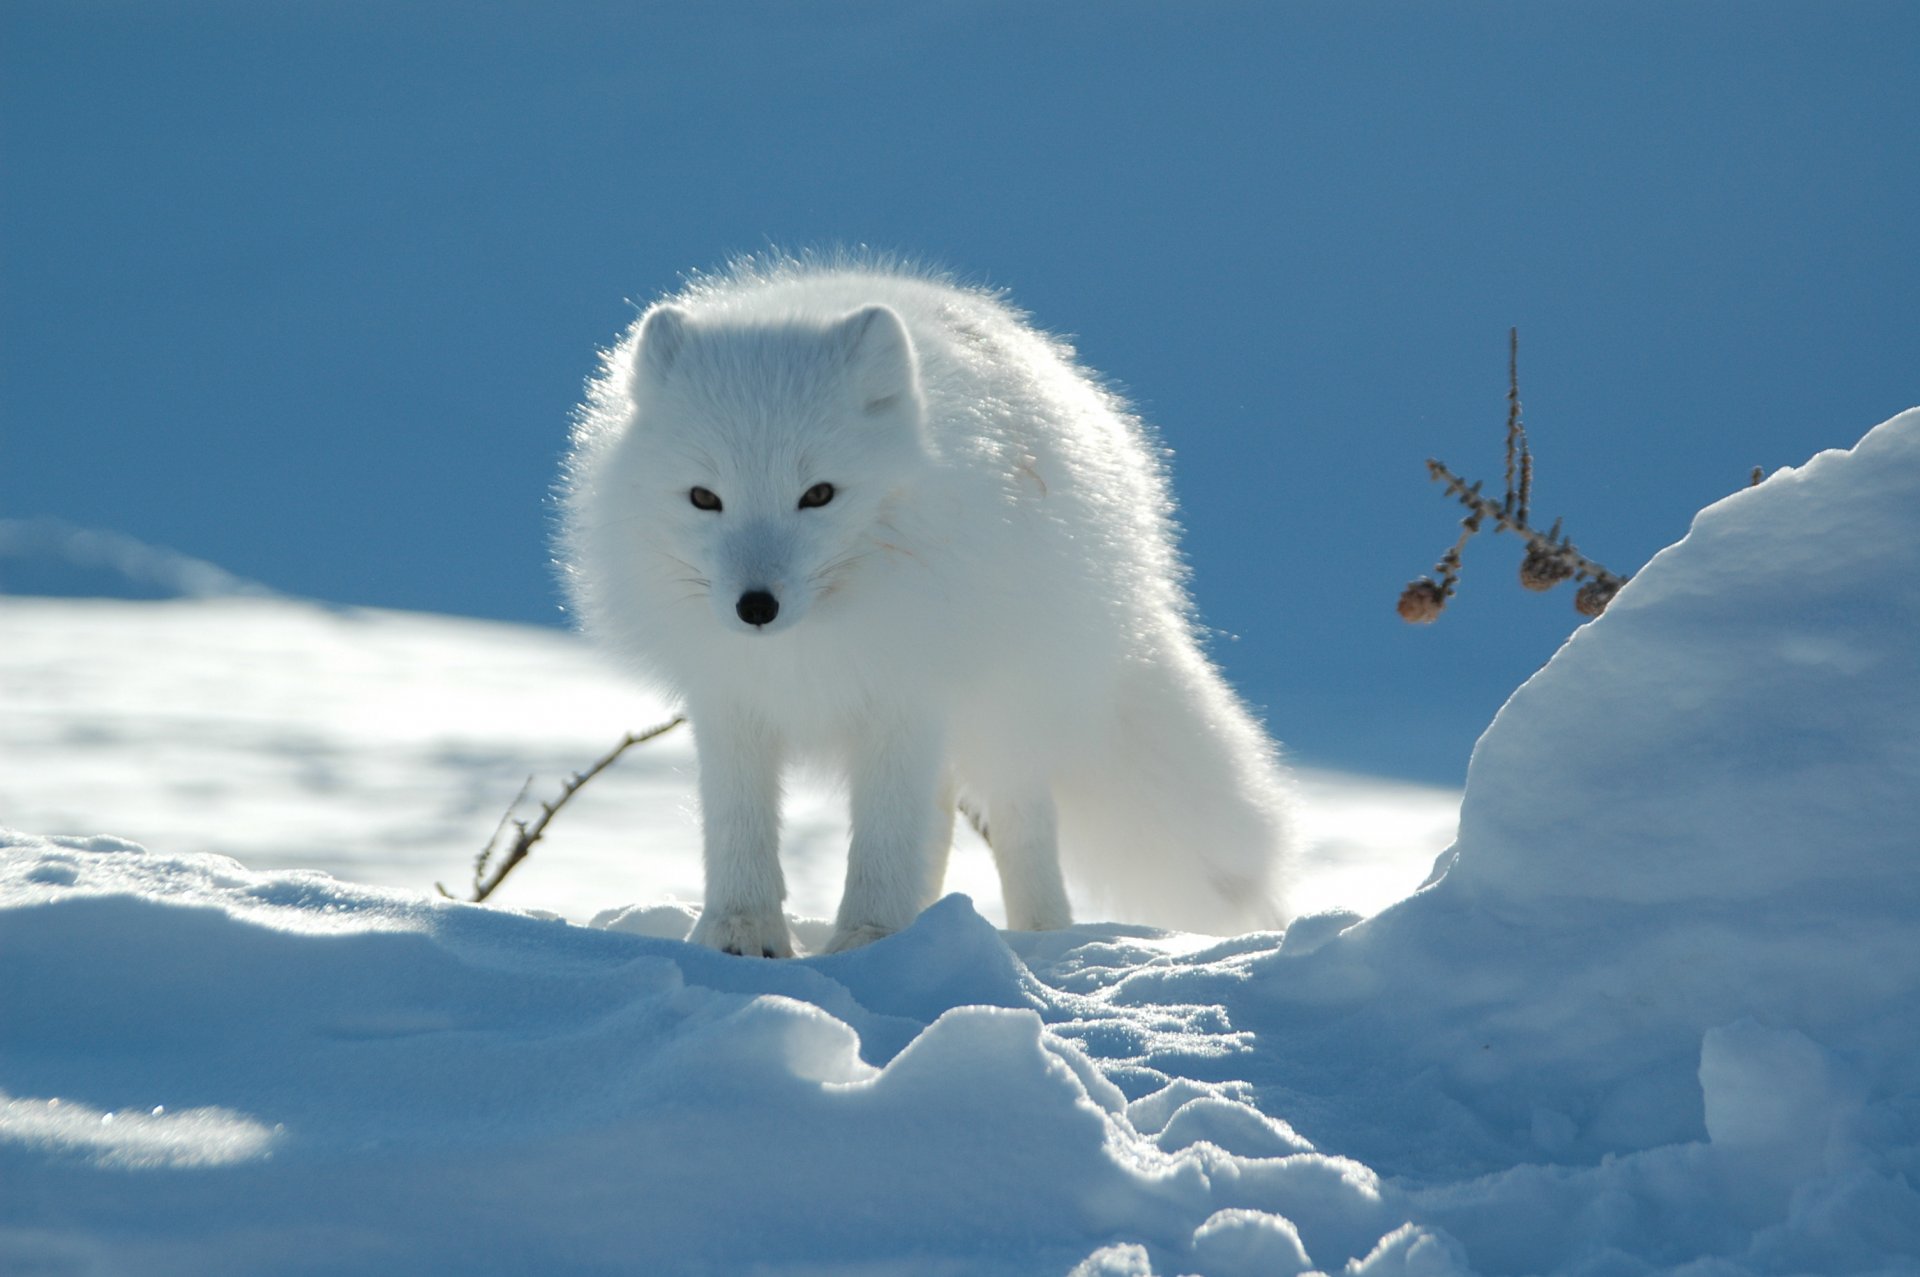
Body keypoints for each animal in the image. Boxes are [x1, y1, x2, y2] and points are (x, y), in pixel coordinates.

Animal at [559, 257, 1293, 956]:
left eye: (818, 494)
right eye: (704, 498)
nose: (755, 607)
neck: (810, 644)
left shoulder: (905, 694)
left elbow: (885, 837)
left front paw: (869, 939)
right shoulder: (730, 700)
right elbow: (740, 825)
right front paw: (741, 932)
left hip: (1010, 709)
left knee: (1020, 822)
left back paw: (1040, 938)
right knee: (938, 821)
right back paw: (929, 920)